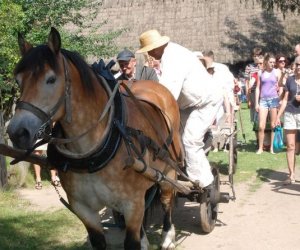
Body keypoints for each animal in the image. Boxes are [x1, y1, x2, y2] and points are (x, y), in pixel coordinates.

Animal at [7, 27, 185, 250]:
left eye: (51, 79)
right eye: (18, 80)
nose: (17, 132)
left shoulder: (132, 204)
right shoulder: (84, 209)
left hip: (169, 172)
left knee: (166, 200)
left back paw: (168, 236)